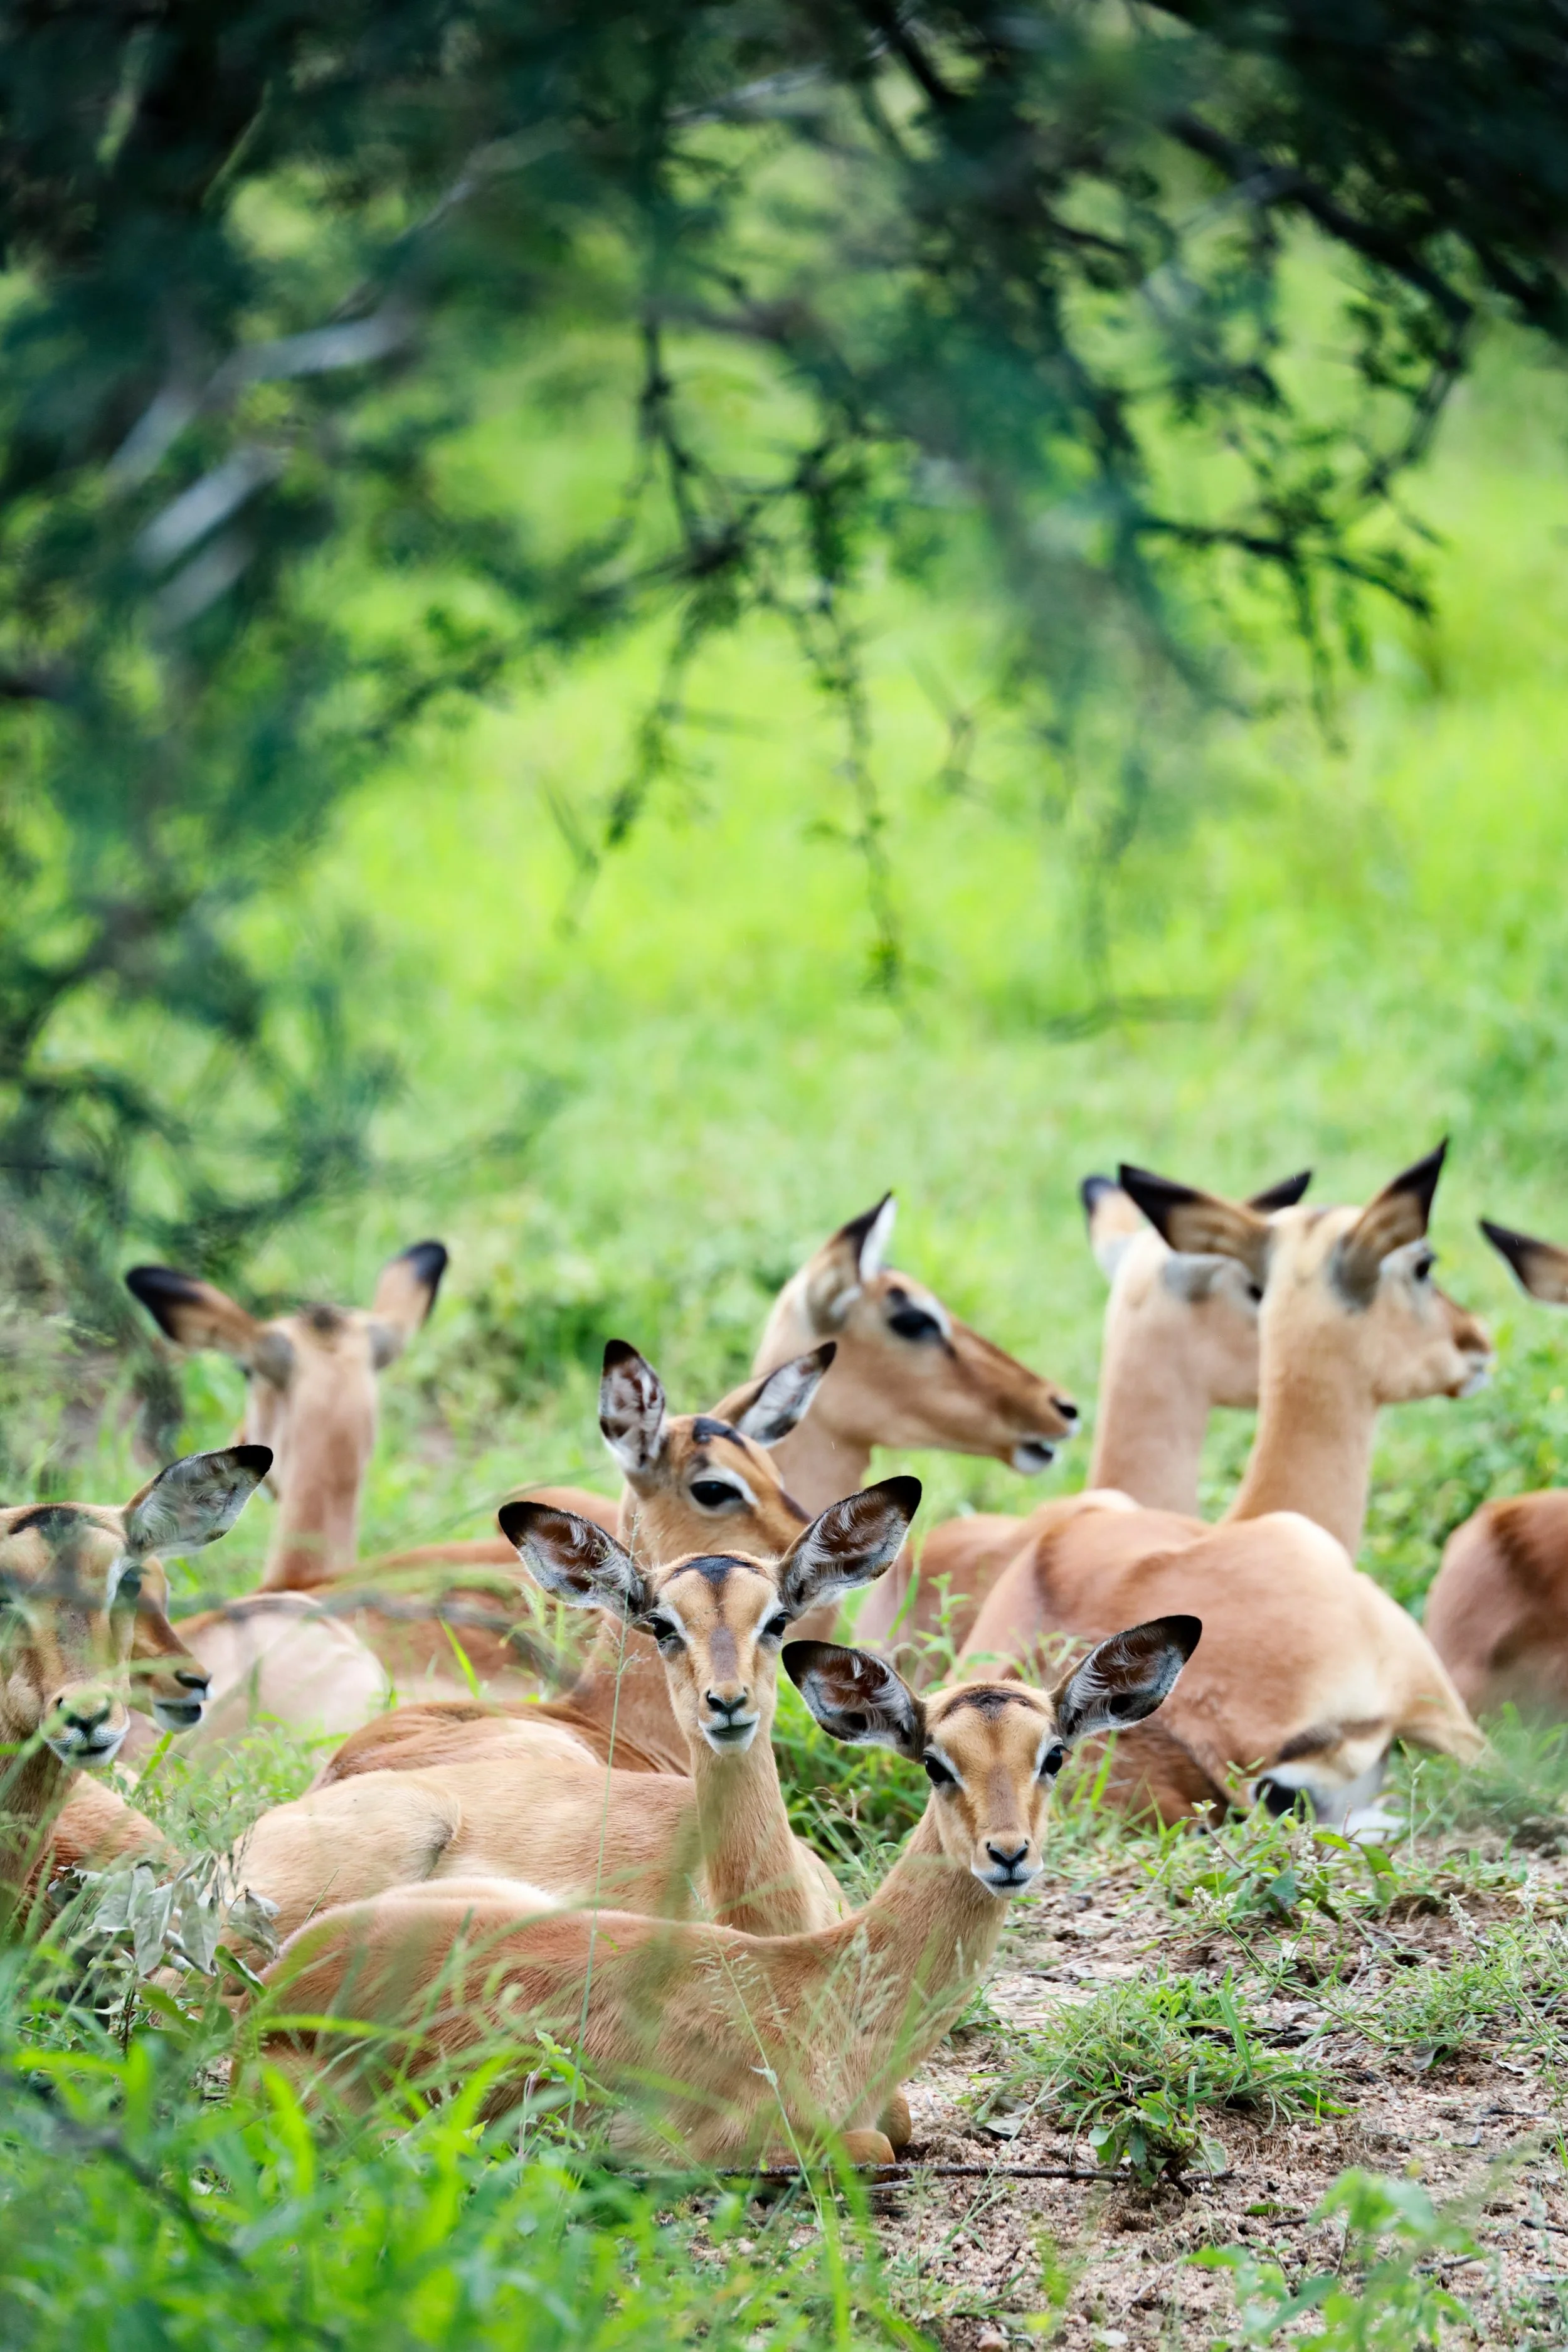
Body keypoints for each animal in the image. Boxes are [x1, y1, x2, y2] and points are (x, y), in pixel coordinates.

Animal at [259, 1615, 1198, 2165]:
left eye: (1054, 1753)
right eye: (937, 1760)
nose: (1007, 1853)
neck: (820, 1993)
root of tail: (272, 1999)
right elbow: (872, 2147)